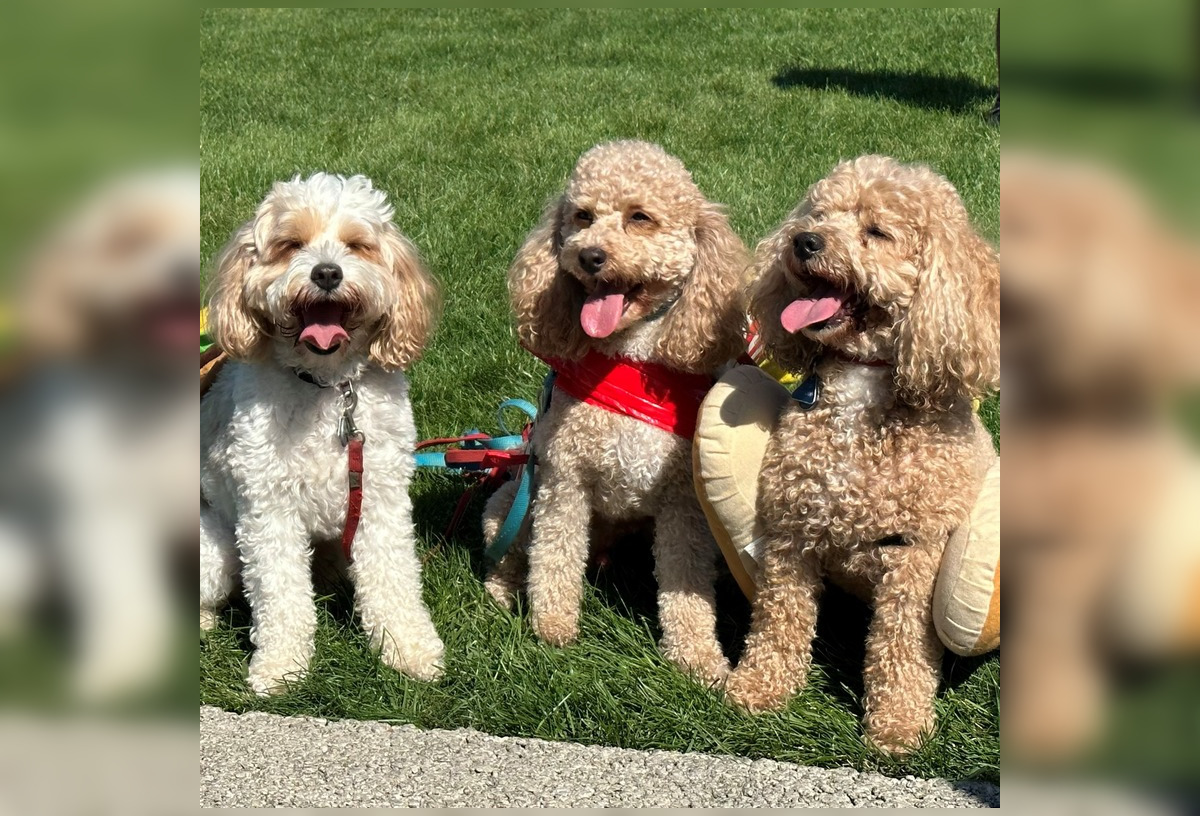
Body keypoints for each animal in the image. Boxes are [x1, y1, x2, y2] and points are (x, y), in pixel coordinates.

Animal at [201, 171, 446, 696]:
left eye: (357, 245)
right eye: (290, 244)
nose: (327, 273)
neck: (327, 386)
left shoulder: (380, 499)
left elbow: (393, 580)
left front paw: (410, 651)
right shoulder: (267, 510)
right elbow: (281, 594)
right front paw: (280, 667)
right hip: (216, 549)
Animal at [480, 140, 744, 681]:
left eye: (639, 217)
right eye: (581, 216)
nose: (588, 255)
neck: (627, 360)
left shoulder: (683, 504)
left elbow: (687, 584)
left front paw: (697, 657)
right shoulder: (563, 481)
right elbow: (554, 558)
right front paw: (552, 627)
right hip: (510, 501)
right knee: (512, 555)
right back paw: (503, 592)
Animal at [724, 156, 998, 753]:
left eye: (876, 232)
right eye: (818, 215)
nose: (803, 242)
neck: (862, 383)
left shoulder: (915, 555)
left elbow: (901, 645)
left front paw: (897, 723)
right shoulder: (792, 533)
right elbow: (778, 620)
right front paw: (760, 687)